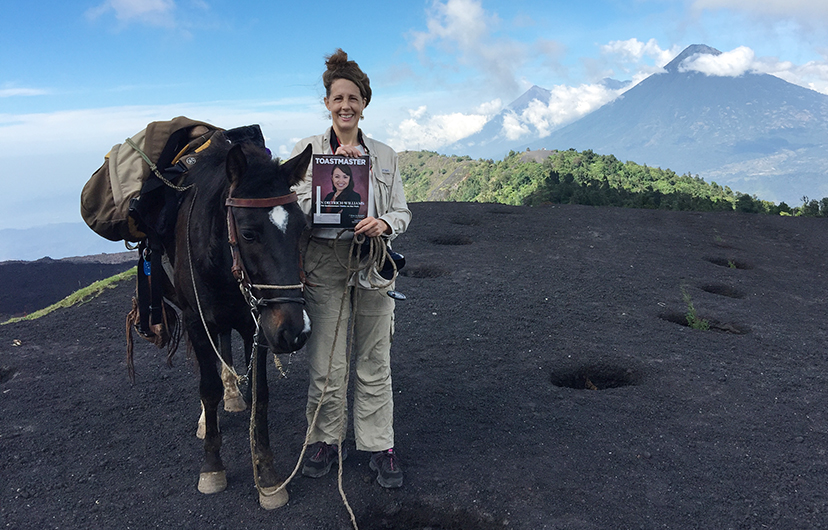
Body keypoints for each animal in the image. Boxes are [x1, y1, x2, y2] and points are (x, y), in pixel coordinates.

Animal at [163, 127, 312, 508]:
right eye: (248, 233)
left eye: (303, 229)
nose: (296, 331)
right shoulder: (196, 321)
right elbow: (208, 388)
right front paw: (212, 467)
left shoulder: (258, 326)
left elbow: (261, 394)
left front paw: (268, 475)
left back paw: (233, 395)